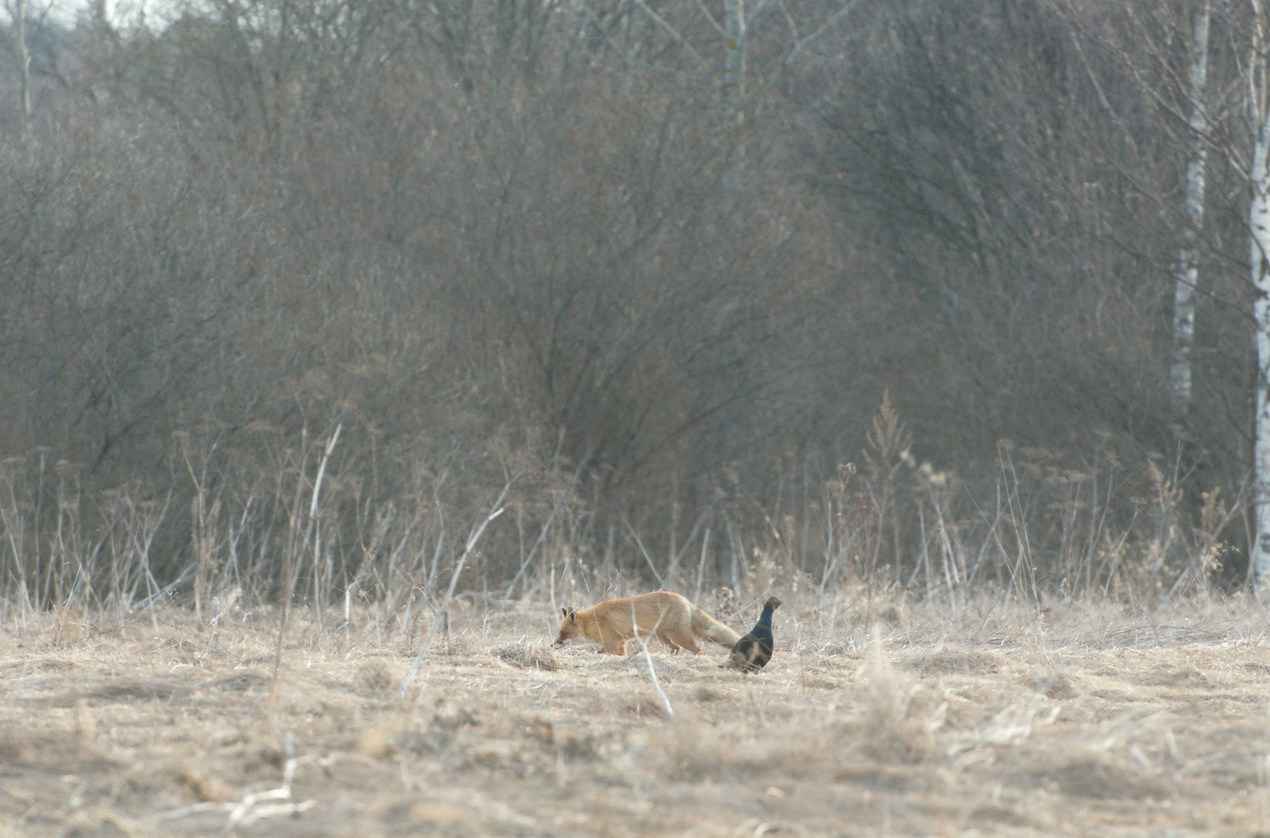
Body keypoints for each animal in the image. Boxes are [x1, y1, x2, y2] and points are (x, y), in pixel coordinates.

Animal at [551, 589, 741, 655]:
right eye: (559, 632)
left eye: (565, 633)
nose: (552, 645)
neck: (594, 621)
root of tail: (683, 599)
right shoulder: (621, 642)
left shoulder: (612, 642)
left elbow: (607, 652)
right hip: (662, 637)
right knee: (676, 649)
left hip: (678, 635)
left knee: (697, 650)